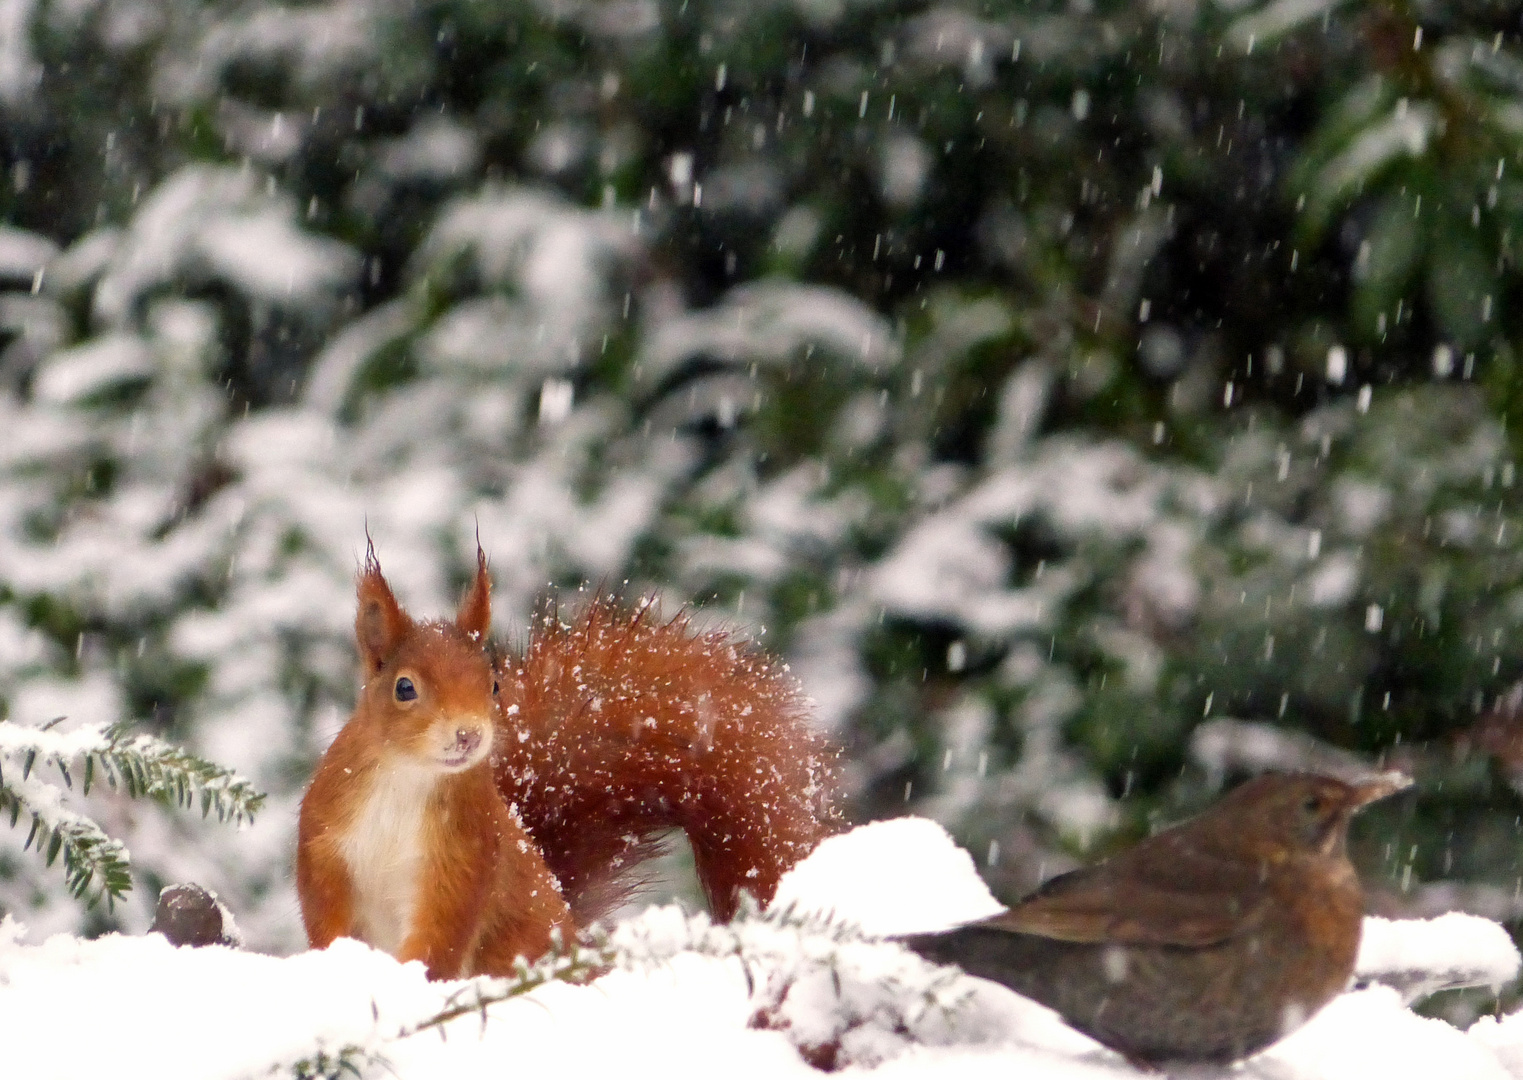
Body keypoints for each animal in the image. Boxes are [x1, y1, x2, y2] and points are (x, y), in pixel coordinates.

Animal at [293, 548, 834, 974]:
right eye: (404, 688)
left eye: (493, 684)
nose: (468, 735)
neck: (408, 778)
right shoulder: (325, 844)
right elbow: (326, 921)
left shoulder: (464, 861)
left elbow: (439, 942)